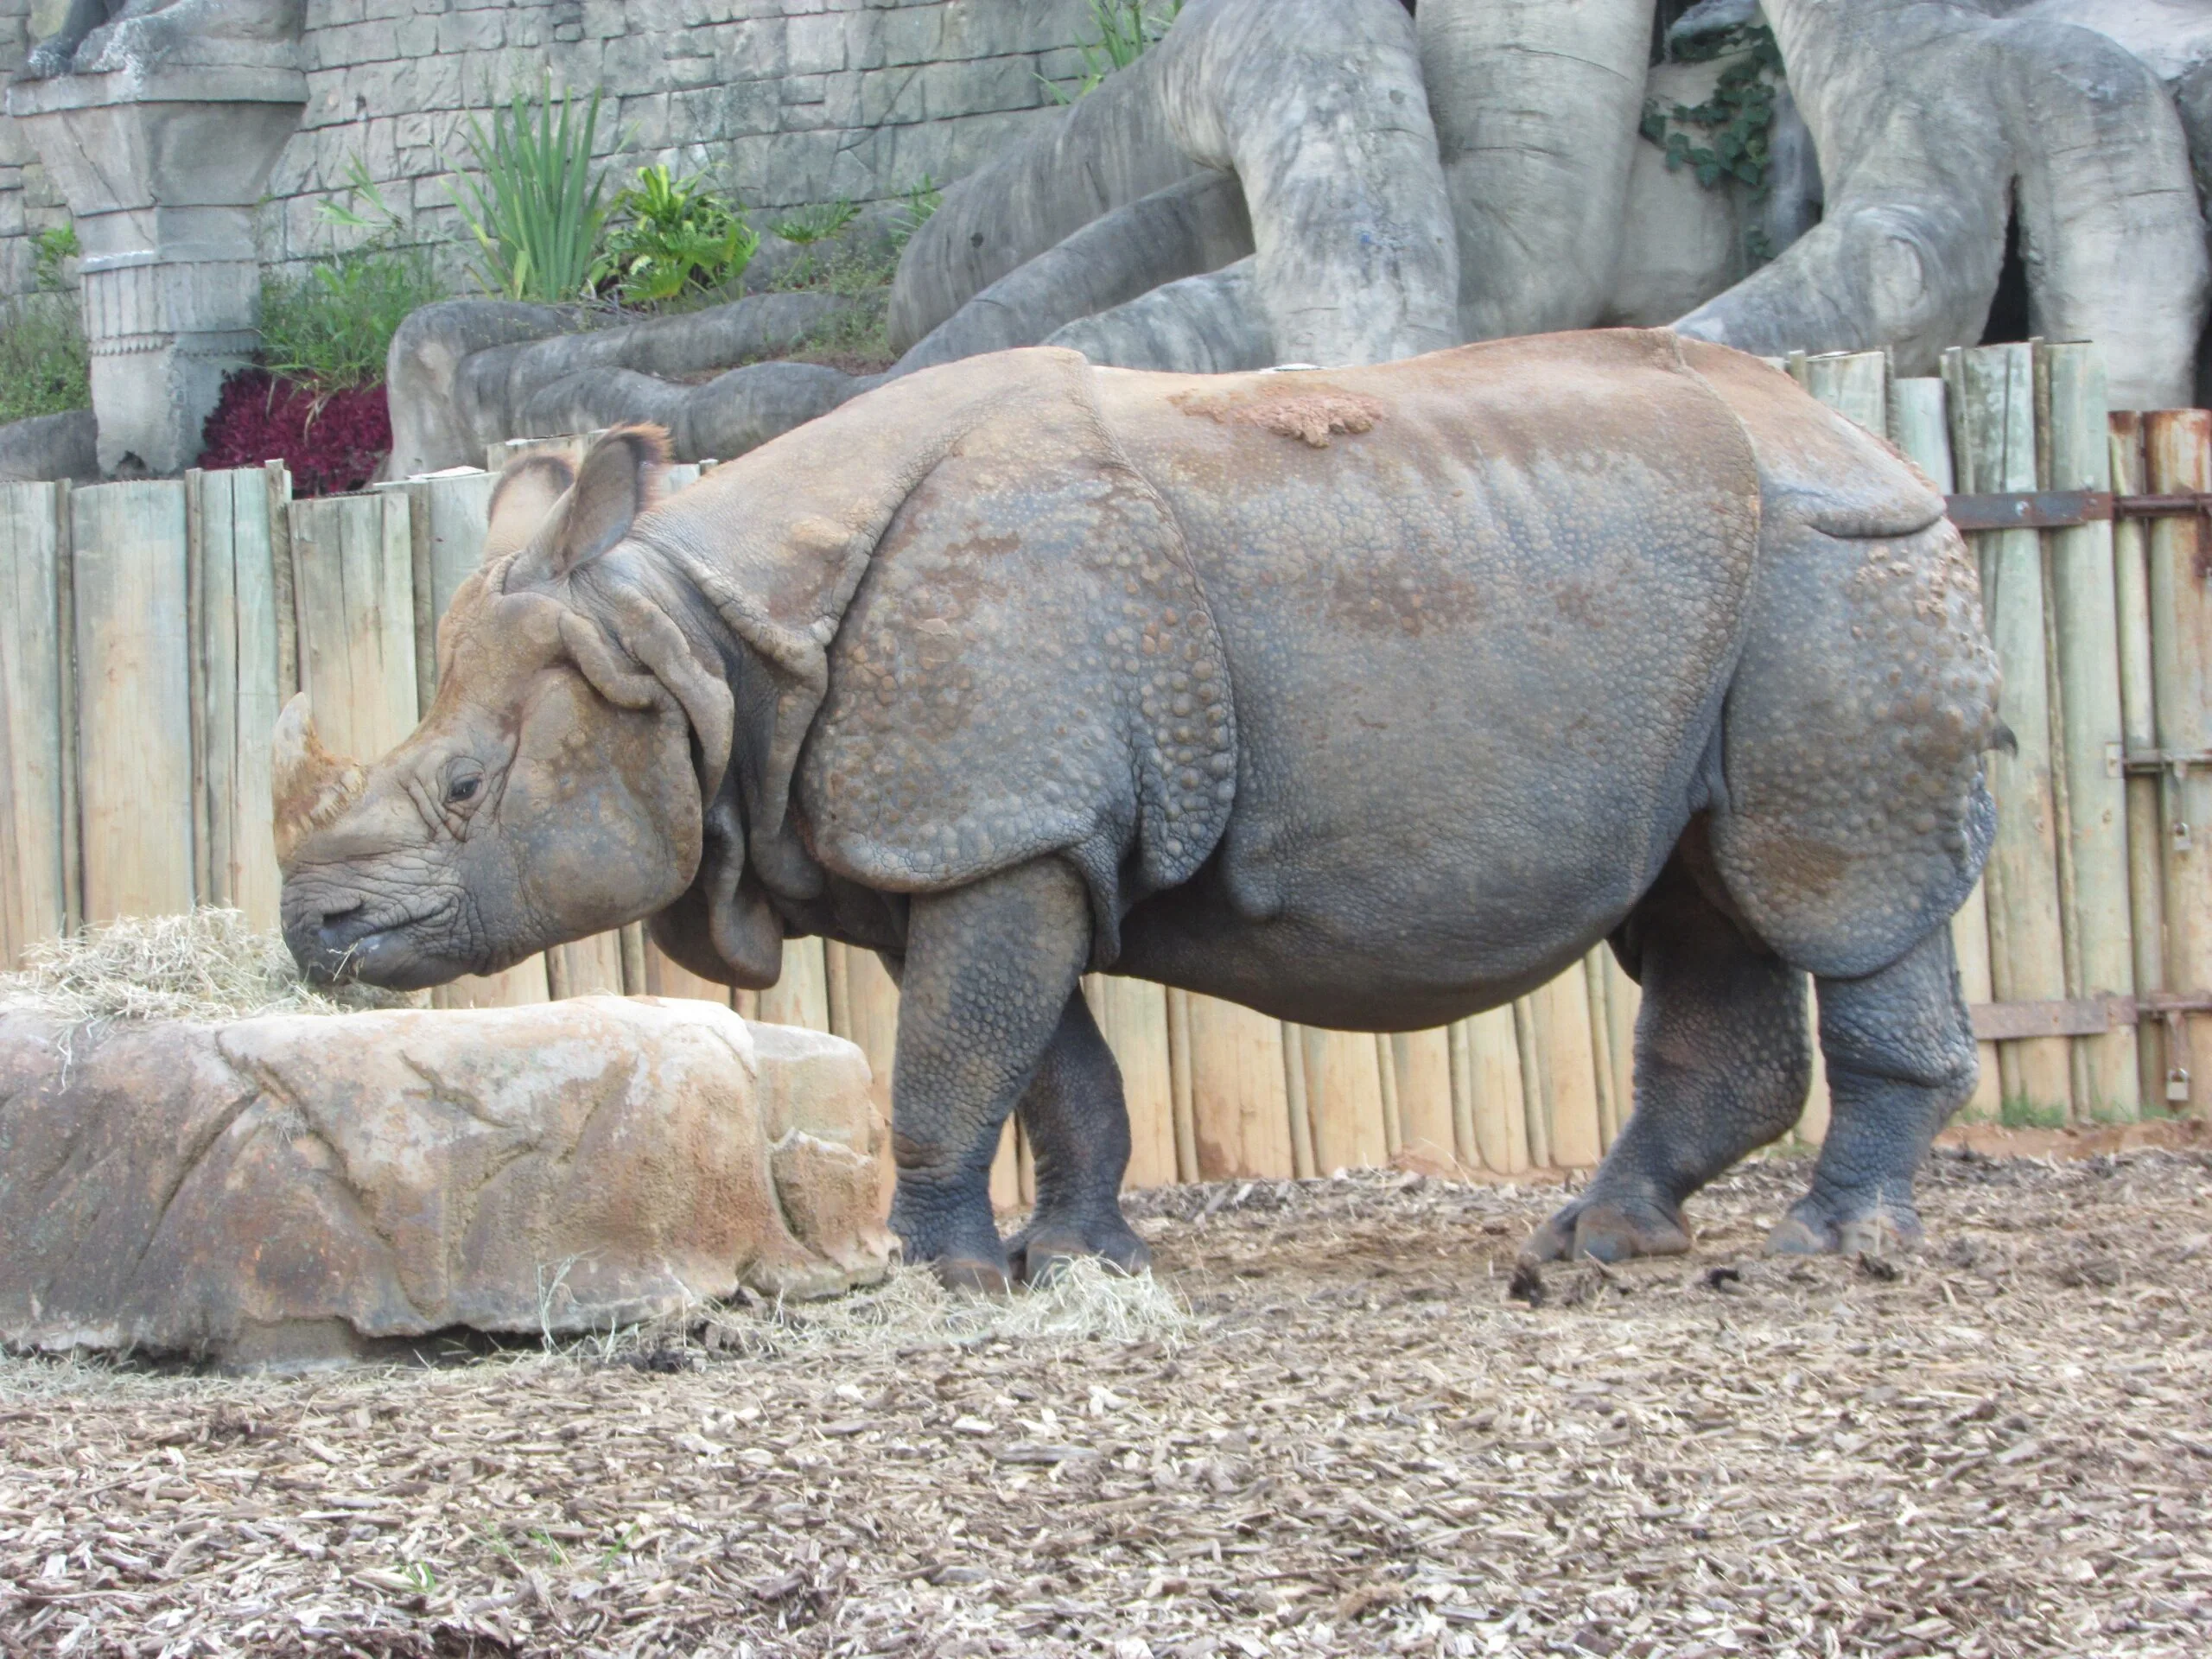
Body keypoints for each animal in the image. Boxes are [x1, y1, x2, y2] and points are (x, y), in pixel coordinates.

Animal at [277, 330, 2000, 1287]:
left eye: (465, 790)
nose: (312, 928)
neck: (698, 639)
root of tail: (1878, 440)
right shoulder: (990, 844)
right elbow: (1052, 1071)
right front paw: (1072, 1262)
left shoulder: (999, 830)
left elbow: (954, 1066)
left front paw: (931, 1277)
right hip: (1727, 601)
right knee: (1702, 906)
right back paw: (1597, 1244)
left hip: (1841, 572)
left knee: (1835, 895)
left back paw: (1828, 1253)